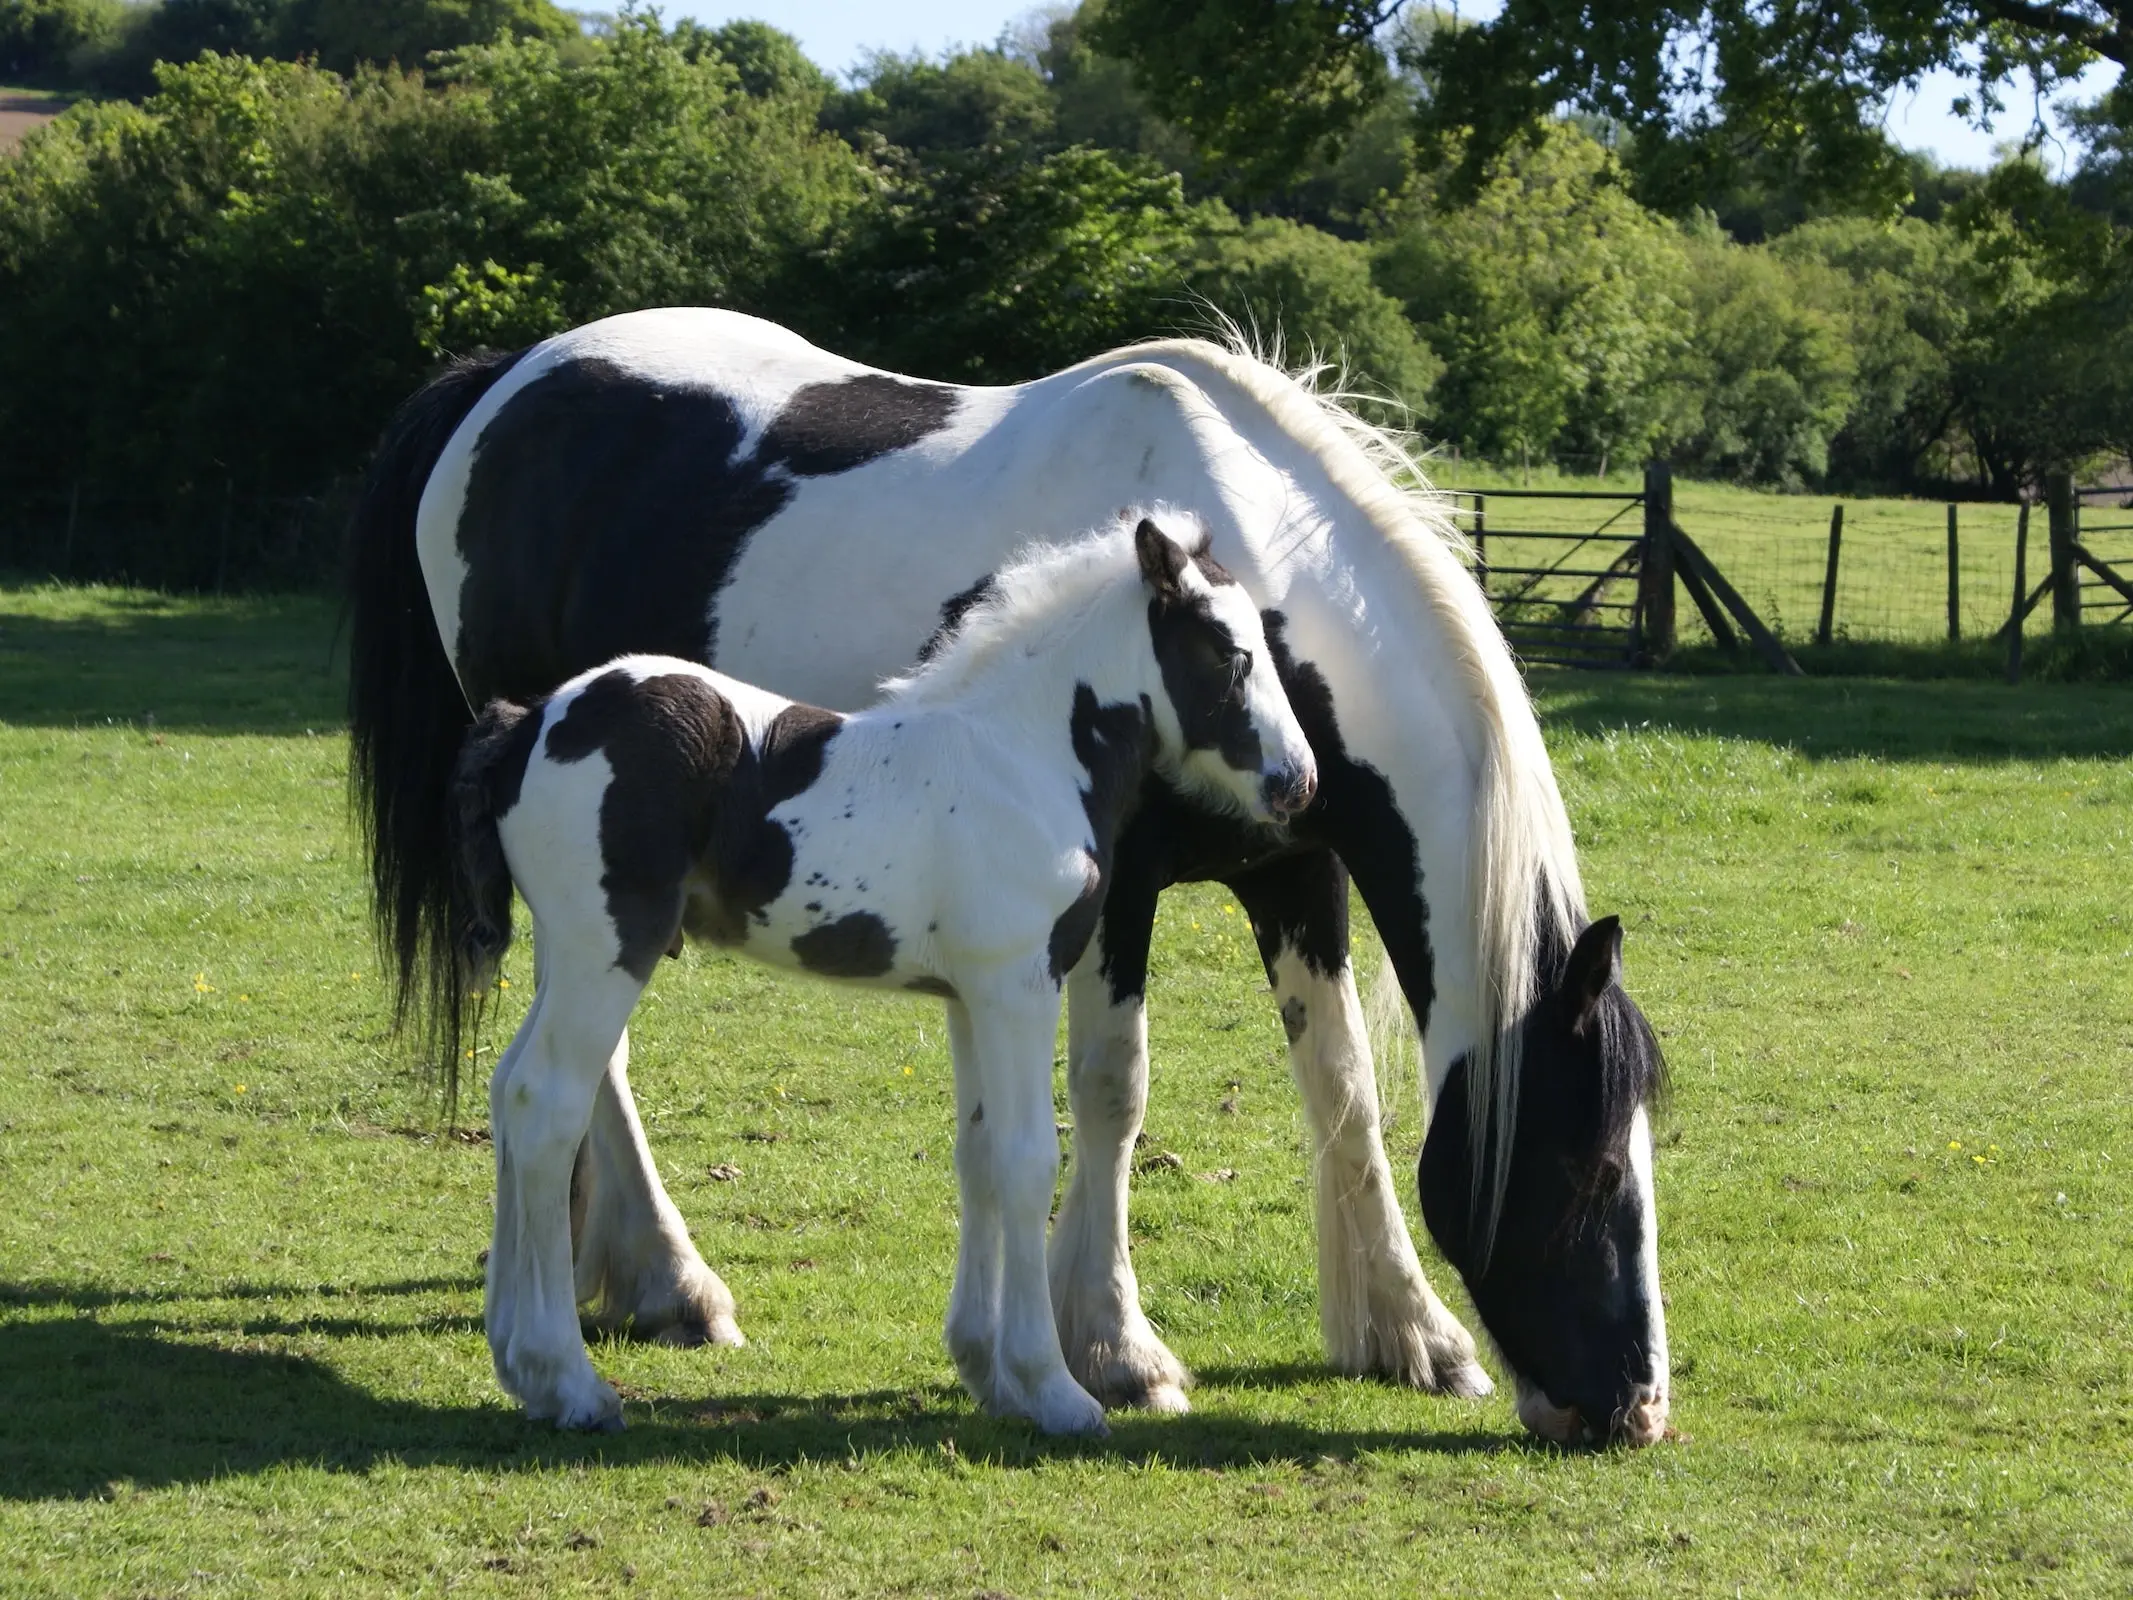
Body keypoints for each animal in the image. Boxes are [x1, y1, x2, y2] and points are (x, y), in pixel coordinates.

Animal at [450, 516, 1313, 1442]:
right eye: (1226, 654)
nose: (1298, 783)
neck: (1024, 757)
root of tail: (529, 724)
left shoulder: (970, 999)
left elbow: (978, 1155)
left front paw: (988, 1372)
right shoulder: (1018, 983)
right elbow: (1025, 1160)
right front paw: (1053, 1390)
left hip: (565, 947)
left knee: (508, 1089)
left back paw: (517, 1361)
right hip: (605, 947)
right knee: (546, 1103)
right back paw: (567, 1381)